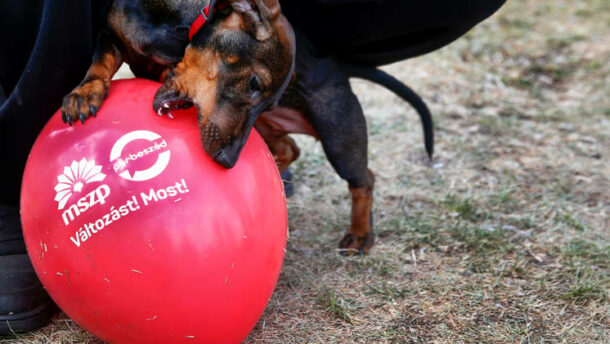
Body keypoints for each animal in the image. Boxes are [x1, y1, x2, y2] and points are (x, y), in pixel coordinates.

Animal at [63, 0, 432, 255]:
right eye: (254, 84)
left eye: (268, 99)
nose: (227, 161)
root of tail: (337, 64)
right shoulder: (111, 35)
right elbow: (100, 62)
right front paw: (84, 94)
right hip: (270, 130)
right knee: (289, 148)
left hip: (339, 135)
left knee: (363, 180)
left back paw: (359, 235)